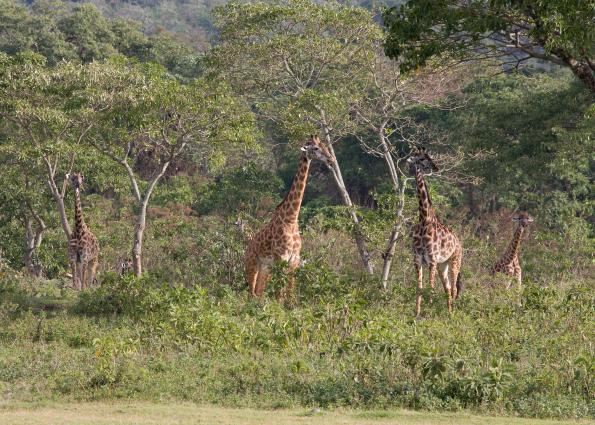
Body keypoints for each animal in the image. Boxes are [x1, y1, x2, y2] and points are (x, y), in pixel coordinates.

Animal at [243, 135, 336, 298]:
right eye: (316, 148)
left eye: (325, 145)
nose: (331, 159)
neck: (291, 219)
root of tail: (247, 248)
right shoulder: (281, 258)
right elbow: (280, 295)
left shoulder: (294, 260)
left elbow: (290, 292)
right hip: (252, 264)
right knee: (251, 293)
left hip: (265, 267)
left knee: (258, 293)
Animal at [410, 147, 466, 316]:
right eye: (422, 158)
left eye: (429, 156)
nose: (436, 167)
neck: (424, 219)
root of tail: (459, 242)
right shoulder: (417, 259)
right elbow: (420, 288)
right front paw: (417, 313)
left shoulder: (432, 259)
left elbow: (431, 288)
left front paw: (428, 312)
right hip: (443, 265)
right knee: (447, 288)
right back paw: (449, 313)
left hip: (455, 261)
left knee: (453, 289)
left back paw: (452, 314)